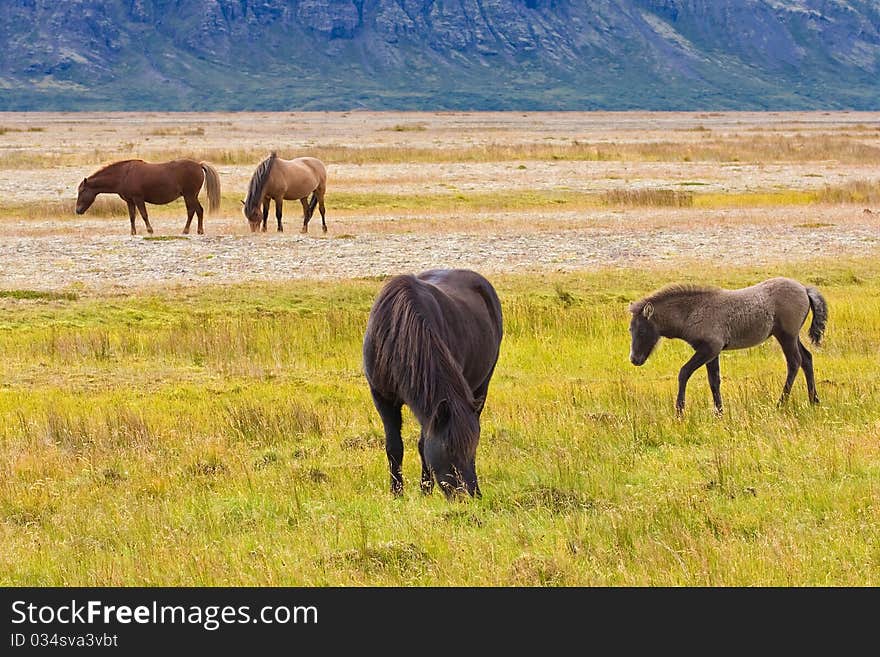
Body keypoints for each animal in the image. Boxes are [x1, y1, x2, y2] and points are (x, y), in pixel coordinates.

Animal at [75, 160, 222, 236]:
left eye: (82, 191)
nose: (78, 210)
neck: (123, 175)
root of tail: (198, 165)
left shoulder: (138, 199)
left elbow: (144, 215)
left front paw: (150, 230)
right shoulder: (130, 201)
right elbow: (132, 216)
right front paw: (133, 232)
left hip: (189, 195)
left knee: (191, 211)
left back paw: (185, 231)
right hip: (192, 196)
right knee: (199, 210)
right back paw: (199, 231)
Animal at [628, 278, 828, 416]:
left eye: (642, 331)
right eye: (630, 329)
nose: (634, 359)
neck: (693, 311)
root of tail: (804, 289)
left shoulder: (710, 348)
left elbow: (684, 372)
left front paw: (680, 410)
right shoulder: (712, 353)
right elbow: (714, 381)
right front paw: (719, 412)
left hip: (786, 336)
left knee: (795, 362)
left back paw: (780, 403)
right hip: (792, 337)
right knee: (807, 359)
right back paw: (814, 400)